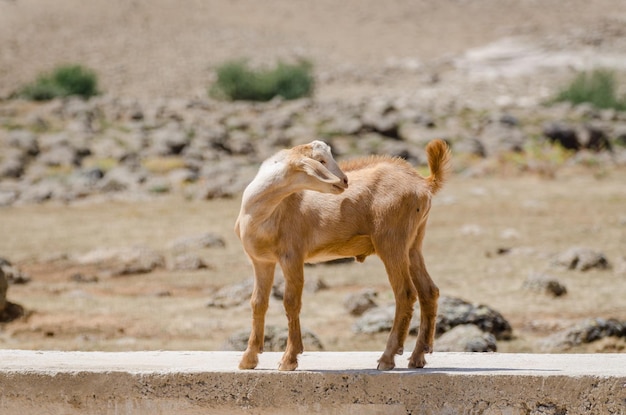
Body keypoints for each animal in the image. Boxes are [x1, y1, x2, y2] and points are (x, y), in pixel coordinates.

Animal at [234, 139, 448, 370]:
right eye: (321, 160)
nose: (344, 180)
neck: (262, 214)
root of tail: (424, 183)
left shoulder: (292, 257)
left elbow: (291, 302)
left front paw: (289, 359)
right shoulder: (261, 261)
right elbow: (258, 303)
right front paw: (248, 358)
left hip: (392, 243)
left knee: (405, 294)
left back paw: (387, 358)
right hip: (413, 245)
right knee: (428, 291)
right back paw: (417, 357)